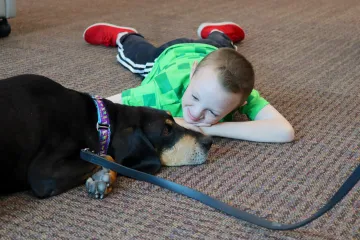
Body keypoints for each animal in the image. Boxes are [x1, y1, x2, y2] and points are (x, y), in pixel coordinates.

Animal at [0, 74, 212, 199]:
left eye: (173, 119)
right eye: (166, 130)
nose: (209, 142)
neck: (99, 123)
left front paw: (102, 178)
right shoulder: (43, 173)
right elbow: (109, 157)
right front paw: (104, 177)